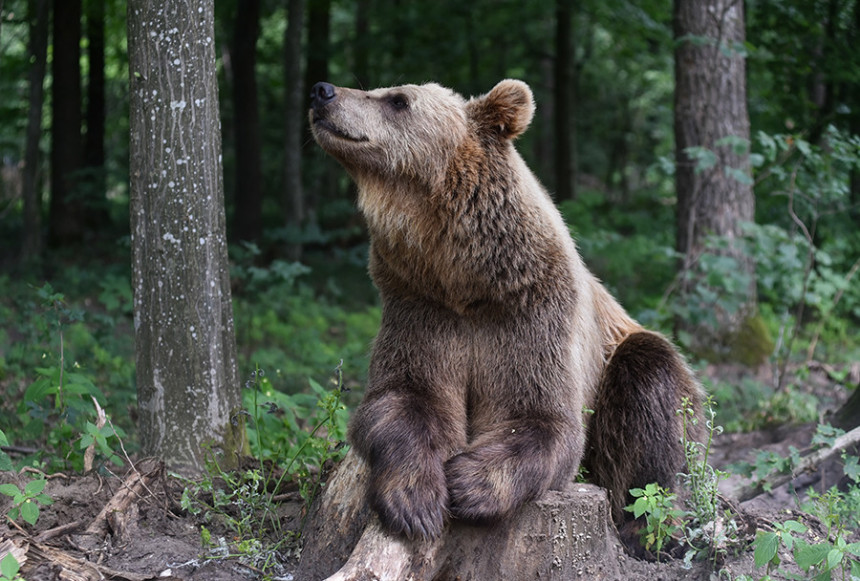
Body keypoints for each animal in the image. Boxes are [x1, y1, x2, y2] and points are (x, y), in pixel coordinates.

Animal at [310, 79, 704, 540]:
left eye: (398, 100)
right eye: (383, 90)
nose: (323, 91)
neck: (465, 278)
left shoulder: (531, 314)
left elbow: (538, 415)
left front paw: (469, 483)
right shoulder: (421, 306)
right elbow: (403, 396)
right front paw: (414, 500)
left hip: (630, 365)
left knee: (650, 391)